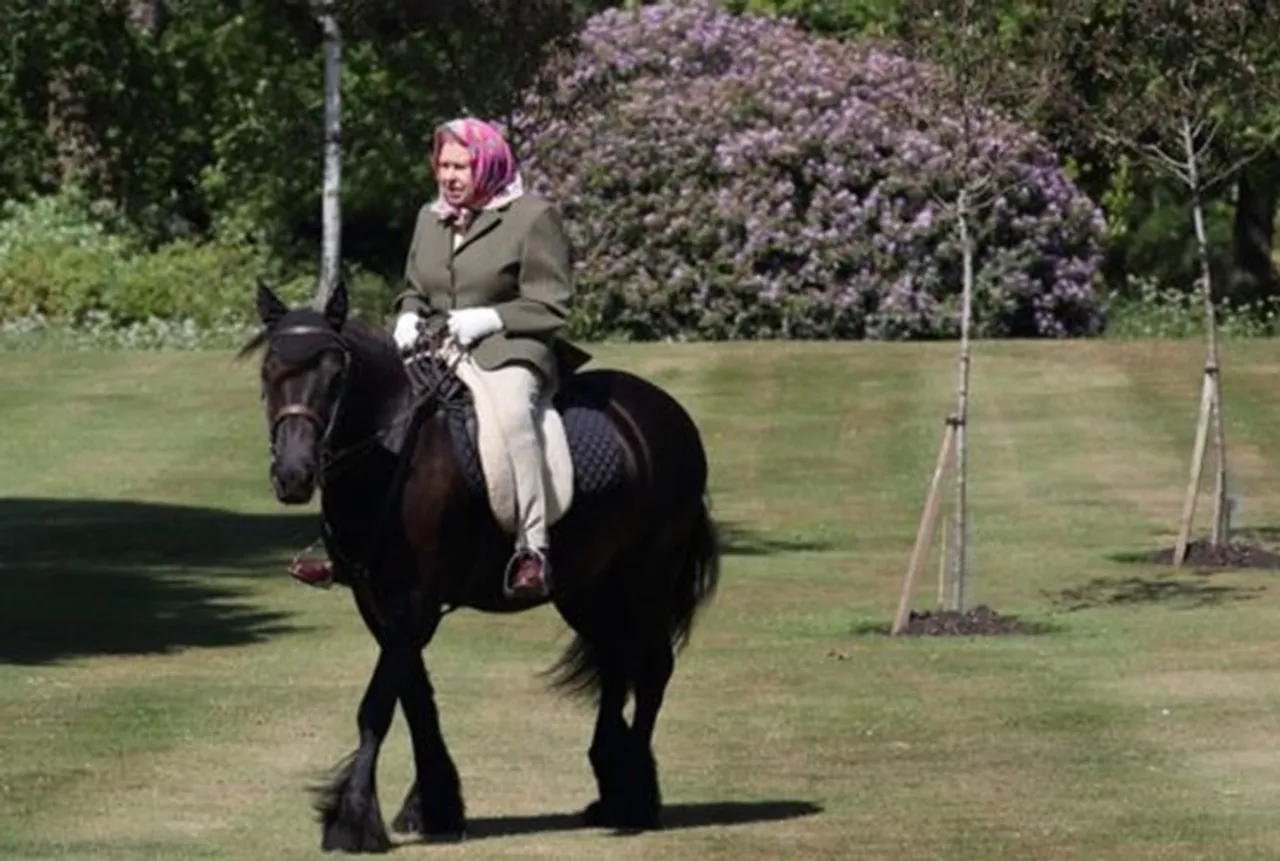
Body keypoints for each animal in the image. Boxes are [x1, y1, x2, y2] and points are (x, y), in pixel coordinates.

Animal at [240, 284, 721, 854]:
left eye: (336, 373)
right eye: (269, 370)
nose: (293, 475)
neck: (393, 453)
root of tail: (665, 413)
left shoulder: (414, 605)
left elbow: (377, 705)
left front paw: (352, 819)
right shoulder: (378, 604)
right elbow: (415, 700)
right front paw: (433, 806)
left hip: (648, 577)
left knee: (650, 670)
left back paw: (635, 800)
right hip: (586, 588)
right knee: (615, 663)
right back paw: (611, 785)